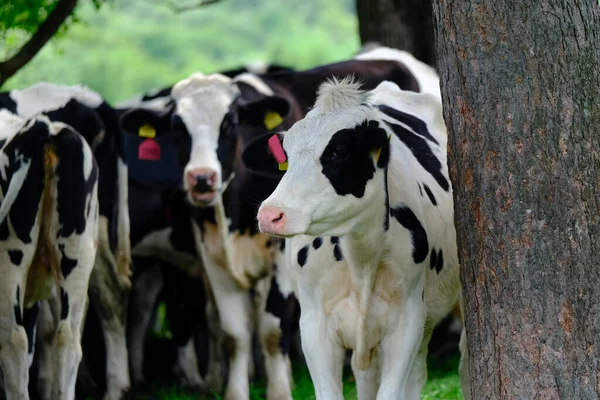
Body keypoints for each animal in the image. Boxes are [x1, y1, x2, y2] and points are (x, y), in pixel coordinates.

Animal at [246, 79, 472, 400]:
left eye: (338, 152)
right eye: (285, 157)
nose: (270, 214)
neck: (361, 256)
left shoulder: (406, 322)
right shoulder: (314, 326)